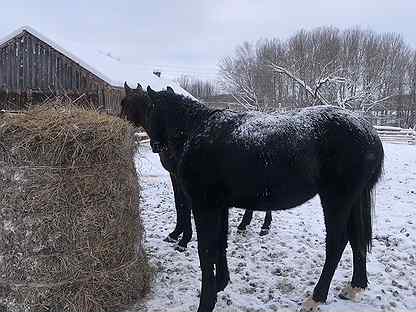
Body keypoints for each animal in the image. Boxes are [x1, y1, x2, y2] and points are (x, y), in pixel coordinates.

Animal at [119, 83, 272, 251]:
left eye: (124, 103)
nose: (155, 145)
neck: (188, 132)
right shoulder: (175, 175)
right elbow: (179, 204)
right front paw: (175, 234)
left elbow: (186, 205)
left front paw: (184, 239)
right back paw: (245, 224)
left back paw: (264, 226)